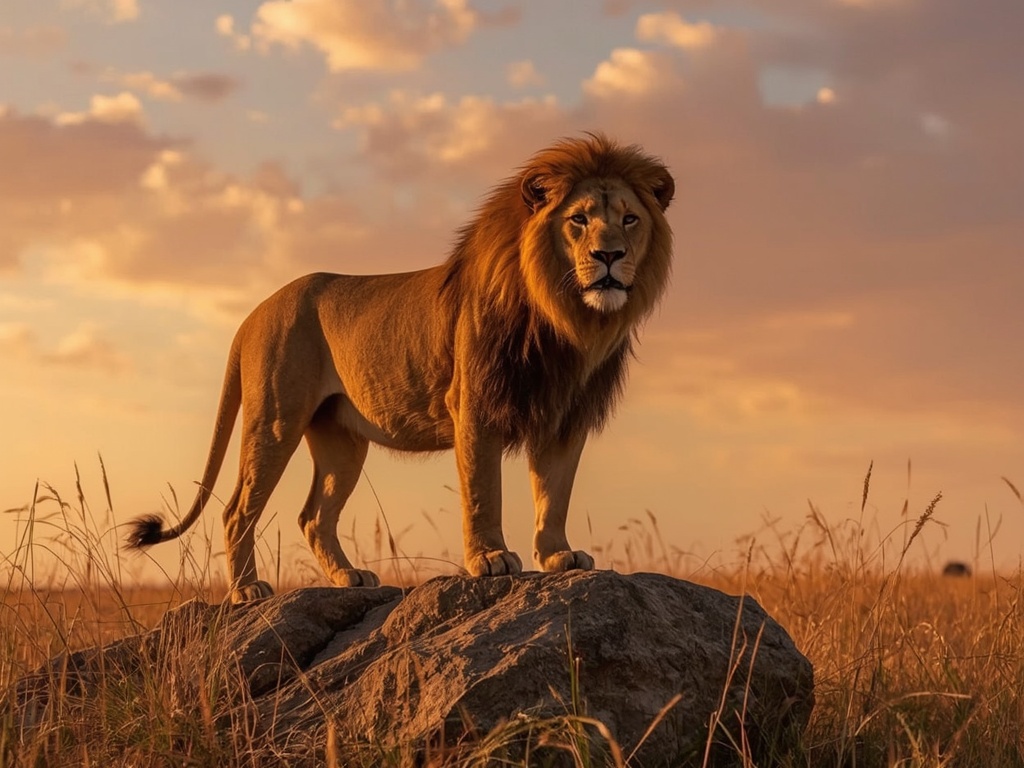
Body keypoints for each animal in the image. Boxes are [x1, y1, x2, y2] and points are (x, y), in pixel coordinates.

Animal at [127, 133, 675, 603]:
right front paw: (491, 559)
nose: (609, 256)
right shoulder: (475, 405)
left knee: (314, 516)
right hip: (275, 421)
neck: (565, 318)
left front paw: (558, 556)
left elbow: (555, 492)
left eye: (629, 219)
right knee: (237, 509)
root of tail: (254, 313)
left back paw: (349, 577)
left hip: (341, 441)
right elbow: (484, 491)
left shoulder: (564, 414)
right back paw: (247, 591)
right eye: (578, 219)